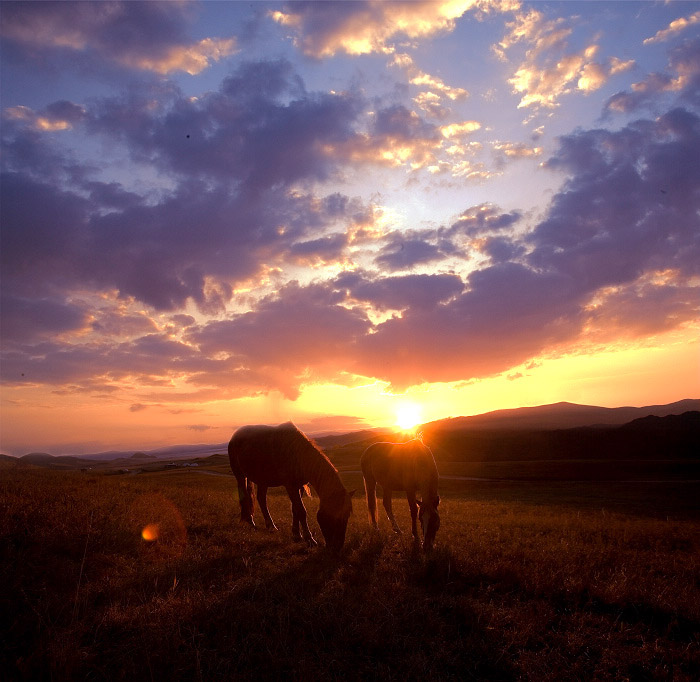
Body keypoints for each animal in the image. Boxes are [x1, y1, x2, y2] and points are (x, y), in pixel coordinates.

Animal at [227, 420, 352, 552]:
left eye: (347, 515)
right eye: (335, 516)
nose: (337, 547)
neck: (297, 454)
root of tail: (234, 436)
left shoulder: (299, 486)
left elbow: (295, 509)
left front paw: (296, 535)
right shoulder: (291, 486)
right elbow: (301, 511)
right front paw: (309, 539)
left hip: (263, 480)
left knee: (261, 499)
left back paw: (270, 526)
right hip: (240, 475)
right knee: (245, 497)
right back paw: (251, 522)